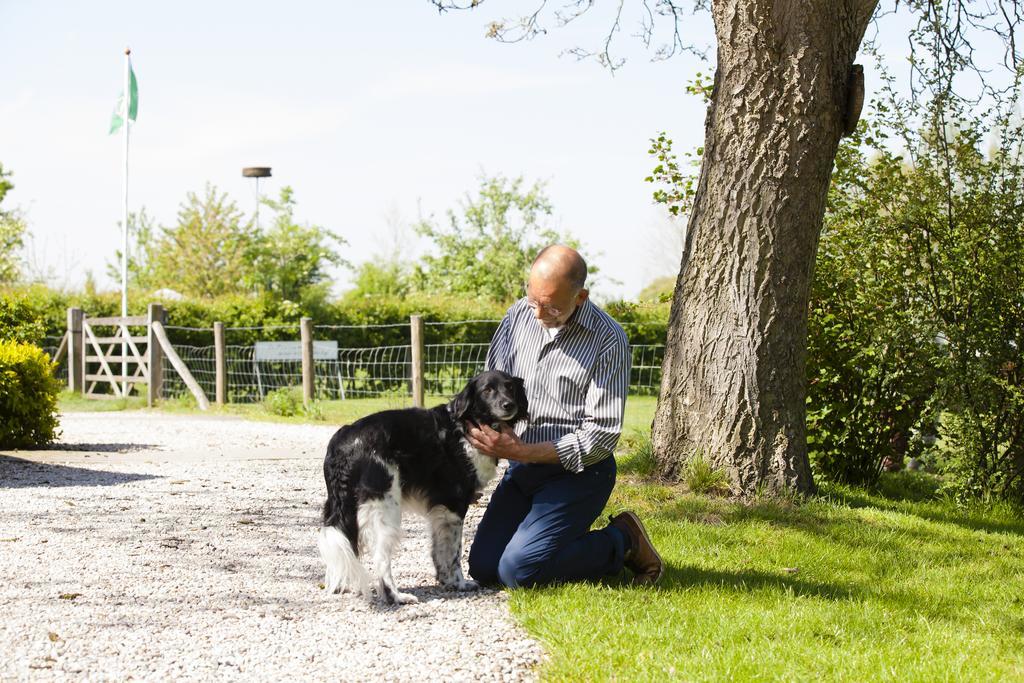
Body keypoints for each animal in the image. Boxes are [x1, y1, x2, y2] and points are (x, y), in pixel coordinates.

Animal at [317, 368, 528, 602]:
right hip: (385, 507)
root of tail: (343, 438)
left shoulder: (440, 510)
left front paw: (446, 581)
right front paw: (460, 583)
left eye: (510, 387)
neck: (465, 426)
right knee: (381, 557)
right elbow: (454, 551)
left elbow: (439, 549)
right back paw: (396, 596)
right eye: (487, 390)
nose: (509, 404)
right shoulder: (453, 505)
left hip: (344, 506)